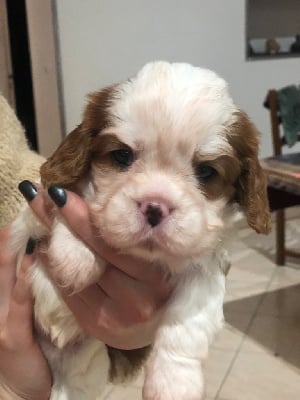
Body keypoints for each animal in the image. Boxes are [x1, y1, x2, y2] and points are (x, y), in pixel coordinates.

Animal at [10, 61, 270, 398]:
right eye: (122, 156)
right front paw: (77, 254)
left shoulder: (208, 265)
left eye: (206, 172)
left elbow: (189, 323)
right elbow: (65, 198)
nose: (155, 206)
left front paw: (175, 383)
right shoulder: (32, 215)